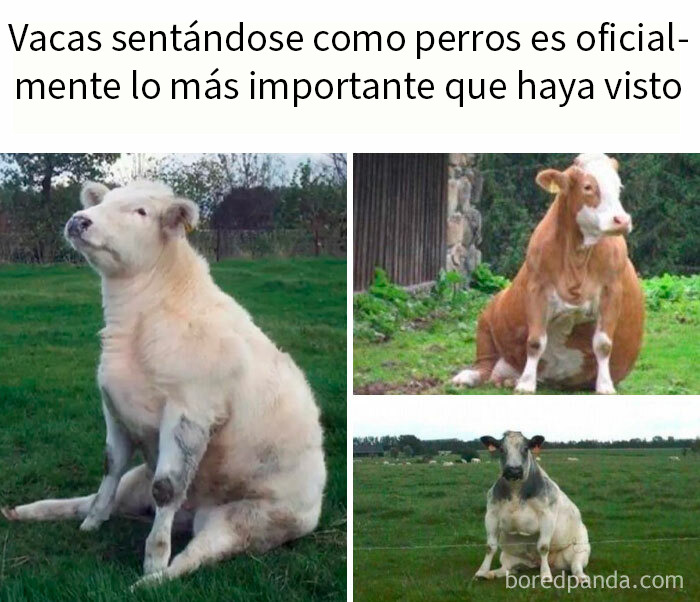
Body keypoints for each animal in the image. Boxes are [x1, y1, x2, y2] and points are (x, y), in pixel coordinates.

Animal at [1, 182, 326, 588]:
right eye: (103, 202)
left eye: (141, 211)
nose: (79, 220)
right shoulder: (114, 406)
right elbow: (109, 465)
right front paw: (93, 522)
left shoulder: (190, 412)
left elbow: (168, 488)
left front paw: (154, 559)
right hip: (137, 482)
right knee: (93, 498)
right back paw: (33, 511)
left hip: (249, 520)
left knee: (198, 554)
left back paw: (150, 583)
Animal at [453, 154, 644, 394]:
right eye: (588, 186)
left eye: (619, 186)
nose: (622, 220)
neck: (577, 259)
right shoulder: (537, 290)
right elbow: (535, 341)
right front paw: (526, 383)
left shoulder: (612, 292)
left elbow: (603, 344)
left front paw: (605, 385)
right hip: (487, 318)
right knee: (484, 365)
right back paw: (469, 377)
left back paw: (509, 380)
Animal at [475, 431, 590, 584]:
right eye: (501, 449)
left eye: (525, 449)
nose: (513, 470)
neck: (516, 491)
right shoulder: (491, 514)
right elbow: (490, 547)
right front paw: (481, 571)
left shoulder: (547, 515)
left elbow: (543, 547)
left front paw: (546, 575)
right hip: (507, 555)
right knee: (506, 569)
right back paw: (491, 573)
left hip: (580, 549)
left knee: (576, 566)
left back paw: (581, 577)